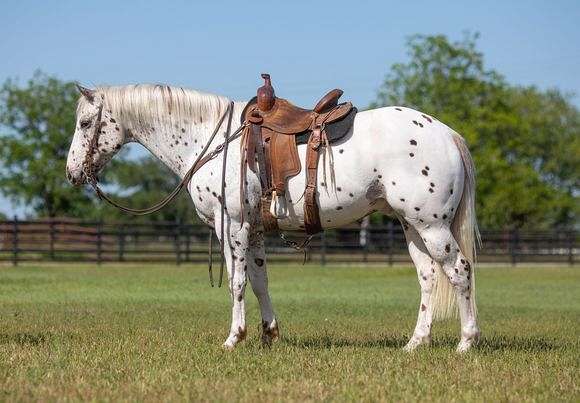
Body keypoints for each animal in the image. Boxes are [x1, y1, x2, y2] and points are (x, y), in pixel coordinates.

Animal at [65, 83, 480, 352]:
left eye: (85, 124)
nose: (72, 173)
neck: (210, 139)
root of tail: (448, 134)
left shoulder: (230, 225)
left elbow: (236, 282)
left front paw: (234, 338)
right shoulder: (255, 231)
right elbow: (260, 281)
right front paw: (269, 334)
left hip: (432, 225)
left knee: (460, 271)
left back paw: (466, 342)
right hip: (412, 226)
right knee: (428, 278)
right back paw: (416, 343)